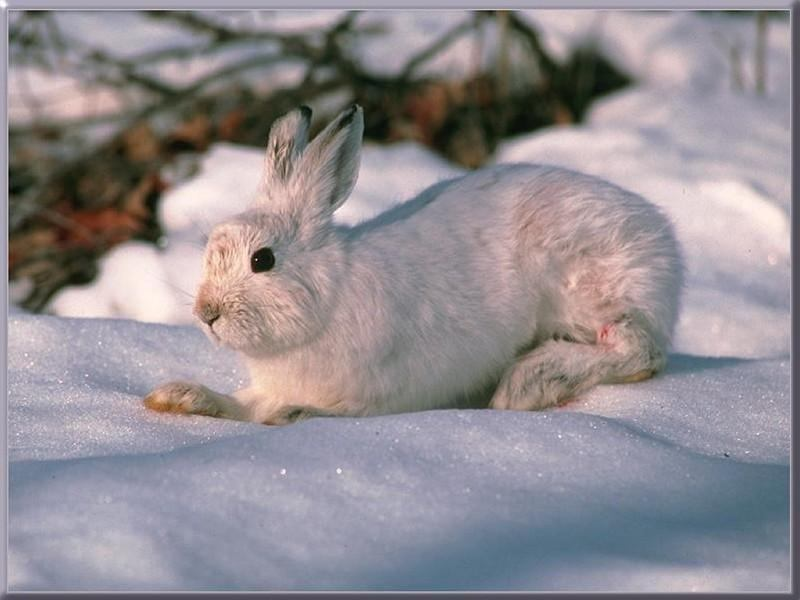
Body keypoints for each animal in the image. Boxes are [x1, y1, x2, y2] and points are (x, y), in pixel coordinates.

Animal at [142, 105, 680, 424]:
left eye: (263, 260)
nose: (206, 313)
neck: (327, 298)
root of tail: (660, 236)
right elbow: (242, 407)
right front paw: (179, 398)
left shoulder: (379, 392)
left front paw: (298, 415)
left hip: (590, 291)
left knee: (640, 351)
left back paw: (530, 383)